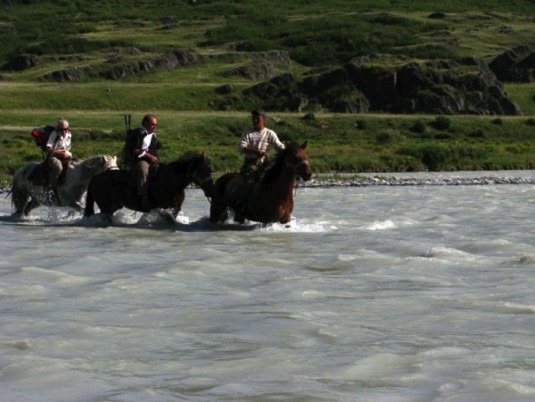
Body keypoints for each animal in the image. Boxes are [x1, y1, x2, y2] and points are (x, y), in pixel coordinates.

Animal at [85, 152, 215, 220]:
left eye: (210, 170)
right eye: (201, 171)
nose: (211, 190)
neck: (171, 180)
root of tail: (95, 178)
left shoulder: (175, 209)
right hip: (106, 208)